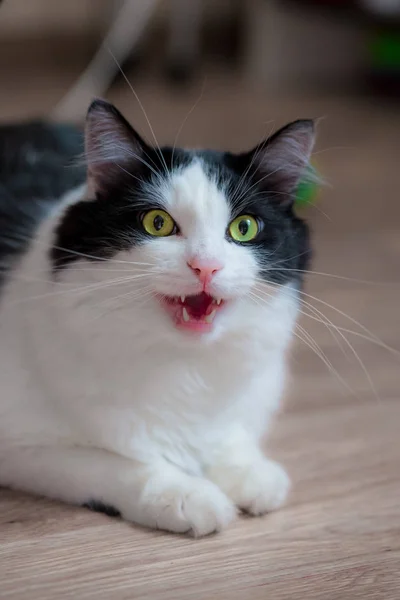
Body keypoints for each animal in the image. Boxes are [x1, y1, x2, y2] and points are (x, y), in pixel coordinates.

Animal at [0, 101, 314, 536]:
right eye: (157, 224)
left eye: (244, 228)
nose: (206, 267)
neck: (182, 365)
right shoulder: (22, 446)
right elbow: (116, 464)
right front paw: (186, 495)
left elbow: (229, 433)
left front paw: (247, 471)